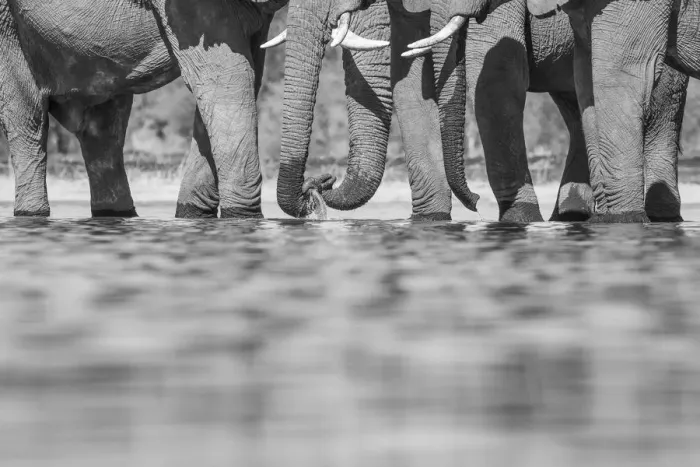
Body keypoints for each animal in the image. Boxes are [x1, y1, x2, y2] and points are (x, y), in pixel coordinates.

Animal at [0, 0, 291, 218]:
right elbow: (226, 78)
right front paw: (242, 219)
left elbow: (249, 76)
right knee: (30, 119)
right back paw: (32, 215)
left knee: (102, 130)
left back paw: (115, 215)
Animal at [411, 0, 691, 223]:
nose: (476, 201)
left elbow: (499, 72)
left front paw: (521, 219)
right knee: (579, 110)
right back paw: (571, 216)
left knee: (658, 113)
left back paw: (661, 217)